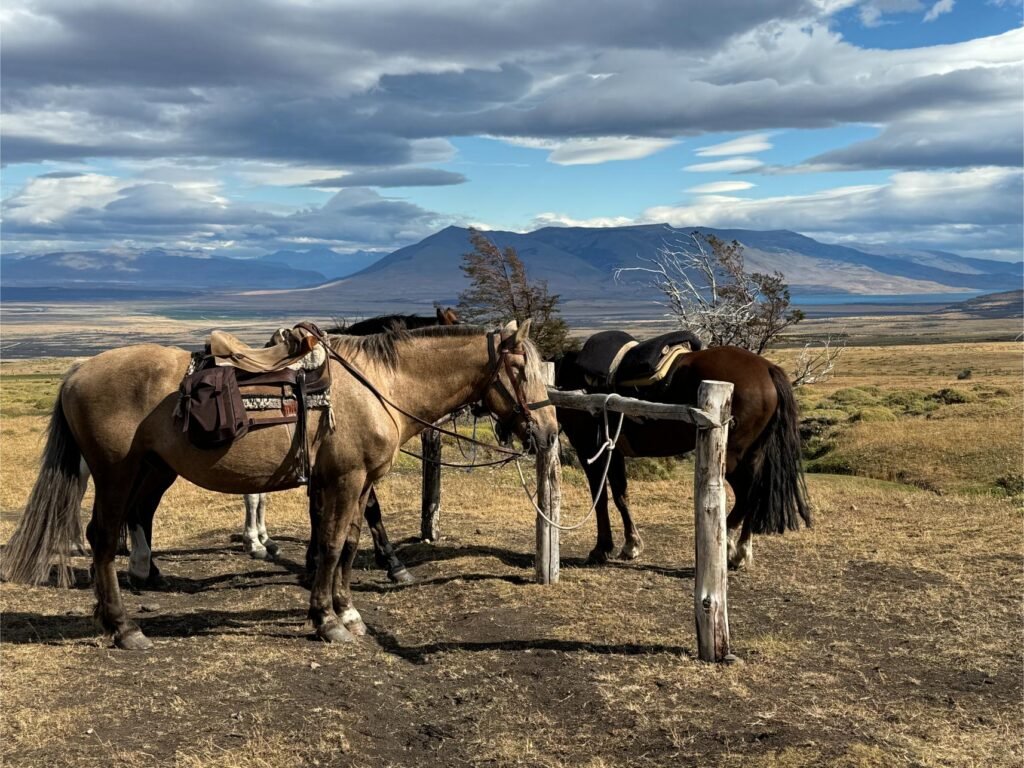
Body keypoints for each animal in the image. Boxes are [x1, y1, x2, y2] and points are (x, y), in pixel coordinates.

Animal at [2, 319, 561, 651]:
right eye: (518, 368)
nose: (548, 431)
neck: (380, 385)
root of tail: (78, 369)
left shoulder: (358, 483)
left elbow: (349, 543)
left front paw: (348, 611)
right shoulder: (344, 480)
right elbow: (332, 545)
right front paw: (326, 620)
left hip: (148, 467)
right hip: (116, 471)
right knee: (102, 538)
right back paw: (124, 627)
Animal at [557, 331, 811, 573]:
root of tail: (767, 369)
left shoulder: (589, 451)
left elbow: (600, 499)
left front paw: (602, 548)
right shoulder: (613, 452)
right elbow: (621, 496)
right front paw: (631, 544)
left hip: (732, 458)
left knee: (746, 495)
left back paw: (728, 543)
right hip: (753, 454)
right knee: (755, 494)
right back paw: (742, 552)